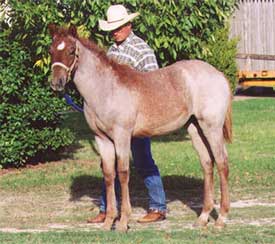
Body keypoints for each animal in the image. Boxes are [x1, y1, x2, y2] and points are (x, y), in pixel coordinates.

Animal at [48, 24, 233, 233]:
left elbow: (122, 173)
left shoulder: (122, 136)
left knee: (222, 163)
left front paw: (122, 222)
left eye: (72, 50)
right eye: (51, 50)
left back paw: (221, 219)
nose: (56, 83)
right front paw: (108, 221)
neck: (106, 89)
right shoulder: (101, 139)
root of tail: (218, 75)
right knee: (207, 163)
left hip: (212, 127)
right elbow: (109, 175)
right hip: (195, 129)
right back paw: (202, 218)